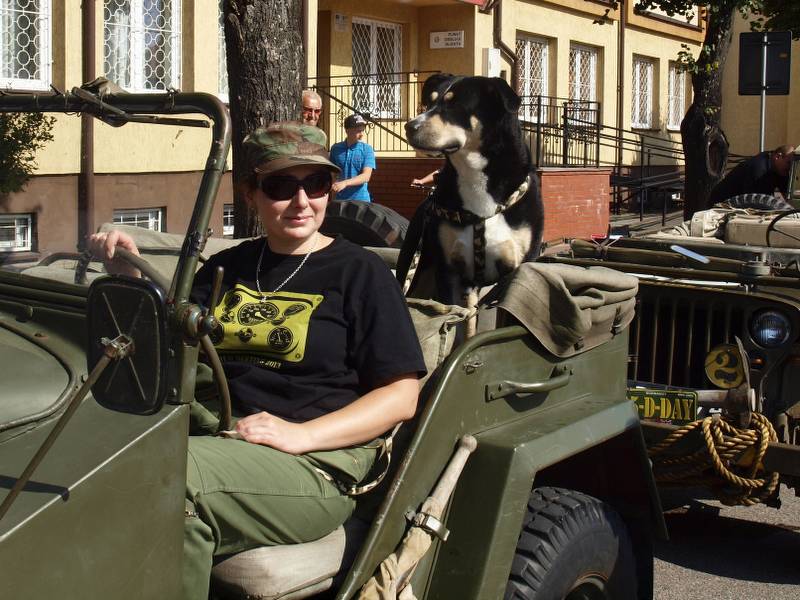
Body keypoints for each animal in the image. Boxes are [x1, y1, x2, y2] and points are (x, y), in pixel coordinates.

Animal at [400, 74, 544, 335]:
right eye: (430, 102)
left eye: (454, 104)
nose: (409, 126)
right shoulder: (450, 271)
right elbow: (457, 327)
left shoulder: (514, 273)